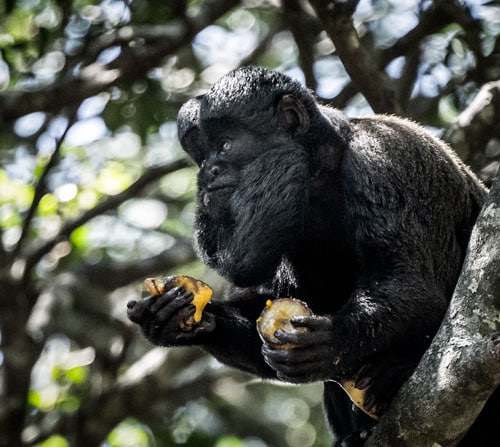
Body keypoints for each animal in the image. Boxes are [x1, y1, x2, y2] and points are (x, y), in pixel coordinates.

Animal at [127, 67, 494, 447]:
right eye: (202, 157)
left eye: (225, 146)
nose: (207, 173)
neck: (322, 174)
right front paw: (175, 317)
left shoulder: (382, 162)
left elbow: (412, 283)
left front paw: (331, 343)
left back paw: (395, 373)